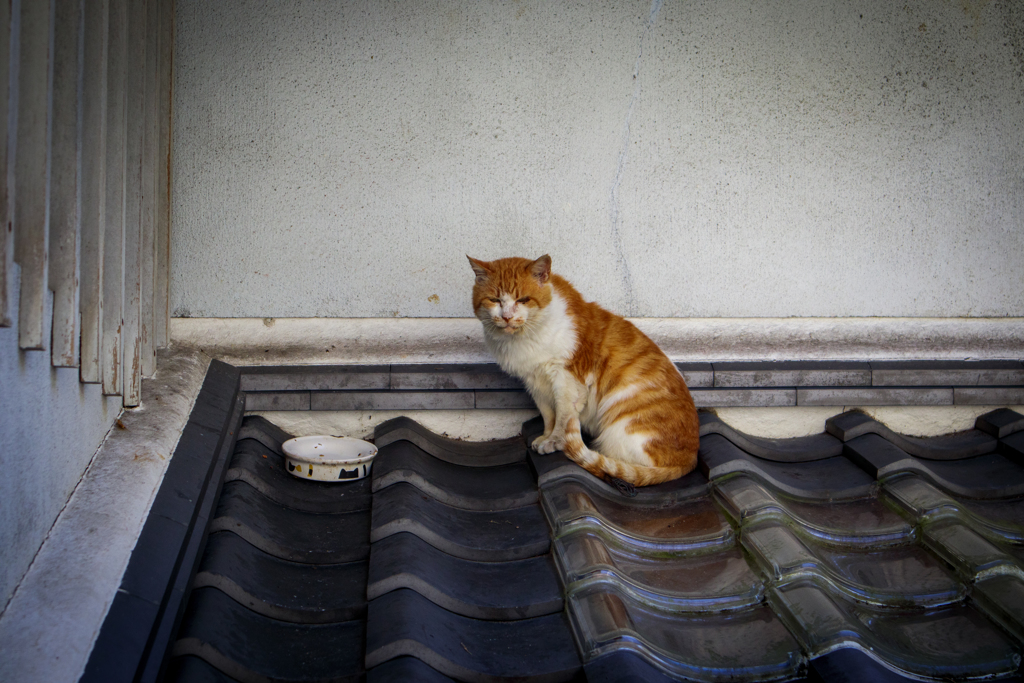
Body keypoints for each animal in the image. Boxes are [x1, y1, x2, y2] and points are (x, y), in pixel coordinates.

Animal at [468, 253, 700, 489]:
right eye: (495, 300)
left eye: (523, 300)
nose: (506, 317)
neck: (524, 339)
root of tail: (689, 460)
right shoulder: (535, 382)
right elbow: (548, 415)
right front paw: (546, 436)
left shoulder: (566, 380)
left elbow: (563, 417)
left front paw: (554, 442)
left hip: (619, 422)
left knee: (620, 465)